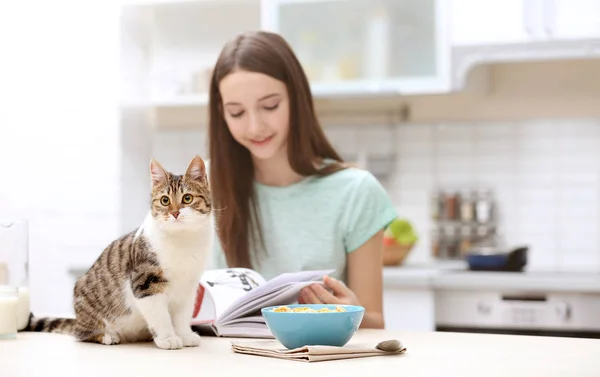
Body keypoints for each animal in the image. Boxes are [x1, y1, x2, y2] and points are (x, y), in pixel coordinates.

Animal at [24, 154, 216, 348]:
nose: (175, 213)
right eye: (165, 200)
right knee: (81, 334)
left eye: (187, 198)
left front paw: (184, 335)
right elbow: (160, 315)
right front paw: (168, 337)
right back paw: (106, 336)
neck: (183, 240)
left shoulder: (189, 286)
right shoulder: (145, 282)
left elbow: (183, 315)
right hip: (86, 301)